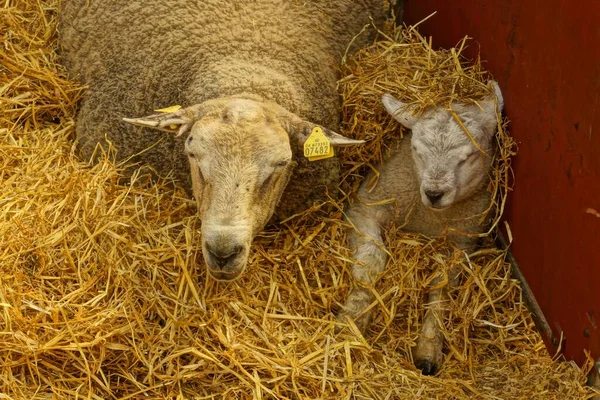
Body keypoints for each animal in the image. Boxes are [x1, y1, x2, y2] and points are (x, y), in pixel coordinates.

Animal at [338, 81, 502, 376]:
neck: (427, 218)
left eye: (470, 156)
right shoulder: (364, 207)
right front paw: (351, 321)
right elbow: (372, 262)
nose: (434, 193)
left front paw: (428, 349)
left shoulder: (462, 242)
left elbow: (442, 289)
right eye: (416, 149)